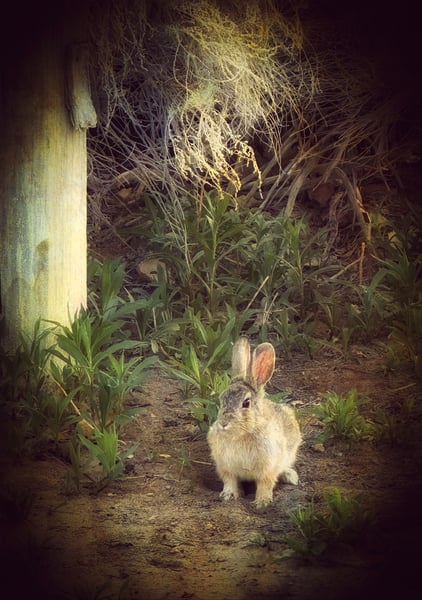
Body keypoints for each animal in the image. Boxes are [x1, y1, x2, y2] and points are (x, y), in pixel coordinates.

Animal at [207, 338, 300, 506]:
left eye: (246, 403)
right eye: (221, 399)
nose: (223, 423)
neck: (241, 433)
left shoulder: (268, 468)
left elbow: (265, 484)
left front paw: (262, 502)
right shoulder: (225, 467)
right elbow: (230, 481)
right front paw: (228, 495)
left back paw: (291, 477)